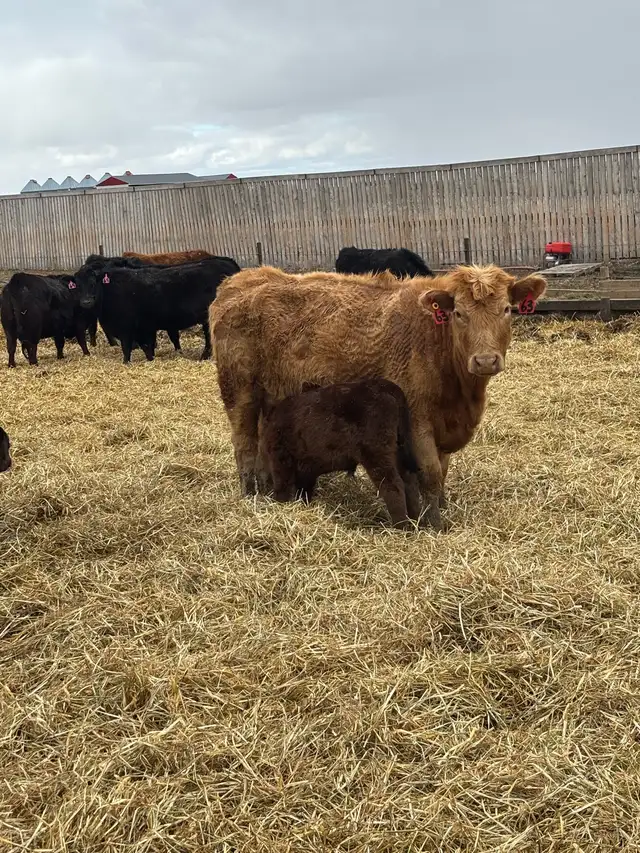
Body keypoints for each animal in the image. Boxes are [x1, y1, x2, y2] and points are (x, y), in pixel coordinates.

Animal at [74, 254, 241, 363]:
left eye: (93, 283)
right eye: (77, 285)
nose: (86, 302)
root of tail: (226, 261)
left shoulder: (127, 327)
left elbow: (127, 347)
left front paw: (126, 362)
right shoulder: (144, 326)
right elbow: (147, 346)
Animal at [257, 378, 421, 528]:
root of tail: (384, 384)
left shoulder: (281, 459)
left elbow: (283, 487)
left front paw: (280, 506)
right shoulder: (306, 469)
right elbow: (304, 491)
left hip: (376, 455)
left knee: (393, 486)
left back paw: (400, 527)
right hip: (398, 452)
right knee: (409, 484)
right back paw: (414, 522)